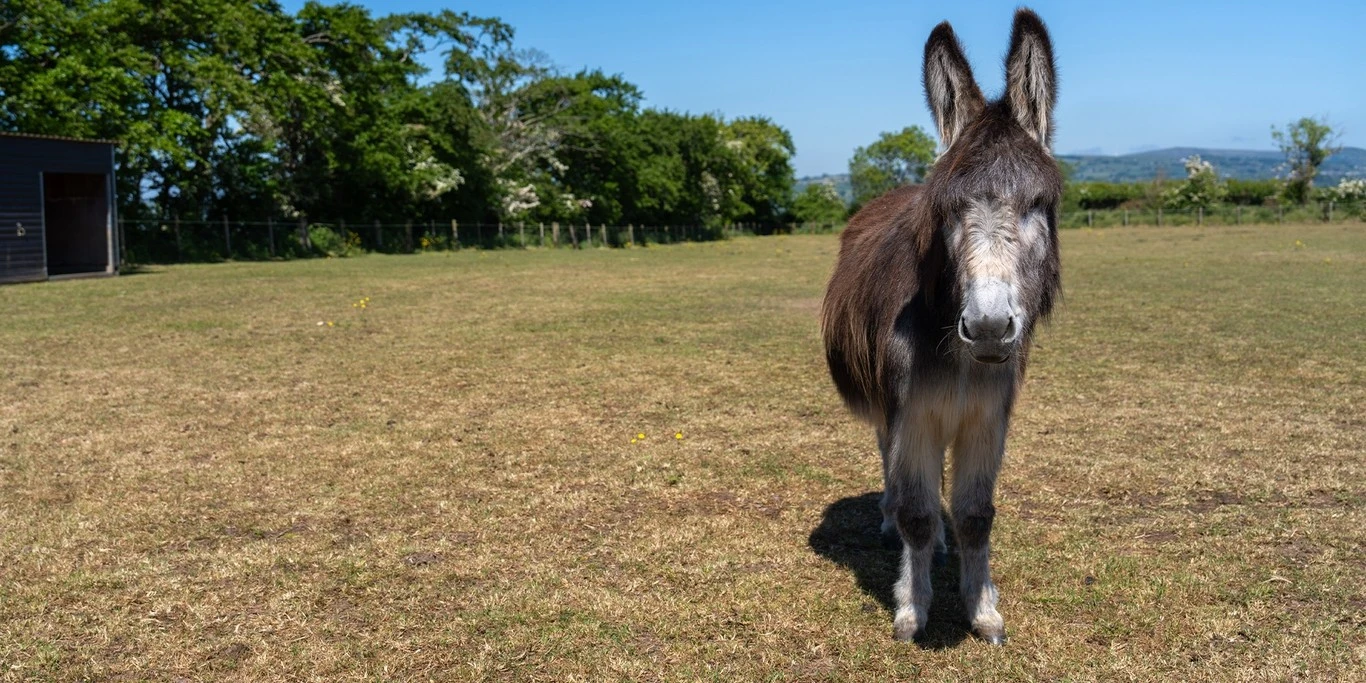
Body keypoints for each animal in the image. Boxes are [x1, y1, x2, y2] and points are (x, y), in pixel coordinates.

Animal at [820, 8, 1062, 645]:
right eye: (948, 210)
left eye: (1037, 204)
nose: (988, 327)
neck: (960, 361)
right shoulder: (914, 416)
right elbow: (917, 513)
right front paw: (913, 608)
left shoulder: (986, 418)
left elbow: (976, 516)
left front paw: (983, 610)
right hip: (888, 407)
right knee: (892, 471)